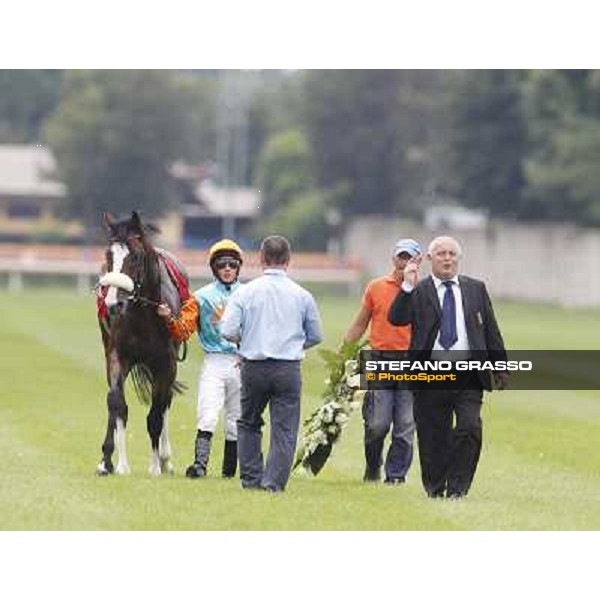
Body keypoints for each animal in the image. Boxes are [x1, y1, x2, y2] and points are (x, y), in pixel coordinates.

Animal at [96, 211, 188, 478]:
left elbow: (156, 413)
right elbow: (117, 403)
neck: (141, 316)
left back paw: (165, 459)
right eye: (108, 255)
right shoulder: (117, 355)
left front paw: (155, 465)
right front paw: (116, 463)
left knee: (165, 401)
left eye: (135, 257)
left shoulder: (166, 364)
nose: (113, 303)